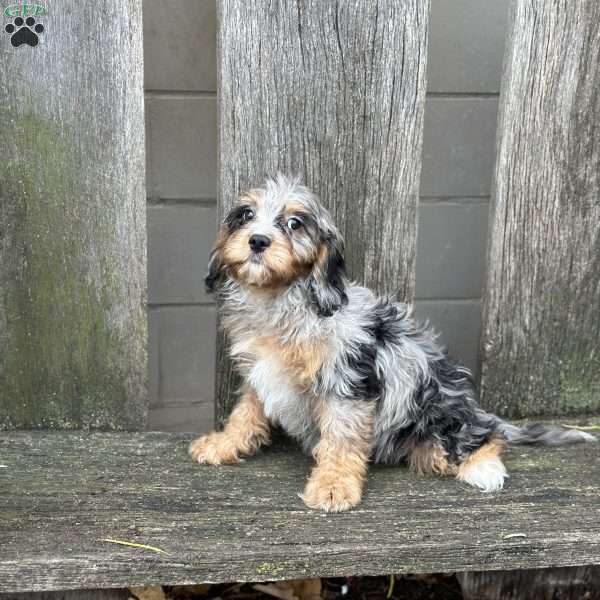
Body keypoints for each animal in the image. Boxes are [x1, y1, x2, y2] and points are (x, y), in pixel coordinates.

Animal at [190, 173, 592, 510]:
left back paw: (484, 467)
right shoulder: (261, 375)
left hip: (440, 418)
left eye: (294, 223)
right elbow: (245, 413)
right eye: (245, 215)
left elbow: (341, 439)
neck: (282, 301)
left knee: (483, 435)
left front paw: (333, 486)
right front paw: (223, 443)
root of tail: (473, 408)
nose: (257, 240)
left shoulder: (347, 384)